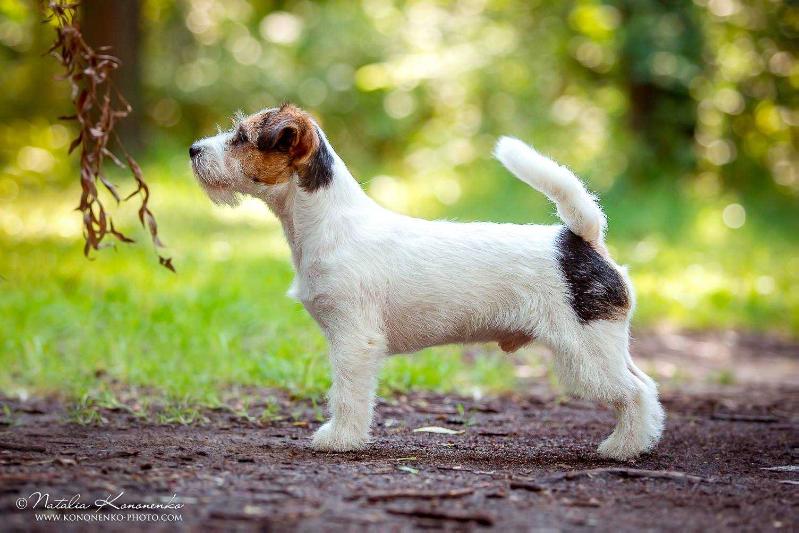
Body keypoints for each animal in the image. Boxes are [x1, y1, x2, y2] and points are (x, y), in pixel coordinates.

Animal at [191, 103, 664, 458]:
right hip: (597, 349)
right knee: (646, 387)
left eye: (241, 137)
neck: (329, 223)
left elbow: (346, 394)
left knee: (635, 393)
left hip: (587, 353)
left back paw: (622, 449)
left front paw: (340, 439)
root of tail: (580, 240)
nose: (193, 148)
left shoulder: (354, 341)